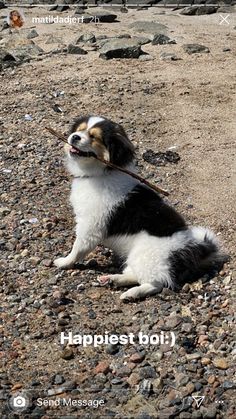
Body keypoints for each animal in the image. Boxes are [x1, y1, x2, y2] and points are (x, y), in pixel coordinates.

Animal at [54, 116, 226, 300]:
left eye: (94, 137)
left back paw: (131, 293)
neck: (100, 173)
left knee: (155, 284)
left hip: (146, 256)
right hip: (138, 257)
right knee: (135, 274)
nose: (74, 137)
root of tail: (194, 246)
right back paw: (112, 279)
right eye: (79, 130)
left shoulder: (90, 226)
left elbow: (78, 248)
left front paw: (64, 262)